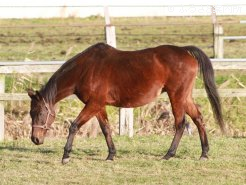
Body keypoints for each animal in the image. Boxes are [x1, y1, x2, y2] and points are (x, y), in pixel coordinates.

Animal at [27, 42, 225, 164]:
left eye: (40, 112)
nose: (35, 139)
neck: (85, 69)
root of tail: (185, 51)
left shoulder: (93, 104)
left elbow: (74, 126)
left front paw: (66, 155)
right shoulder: (98, 106)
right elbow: (106, 129)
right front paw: (111, 155)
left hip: (176, 96)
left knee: (180, 123)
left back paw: (169, 154)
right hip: (185, 96)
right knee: (198, 118)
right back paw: (204, 153)